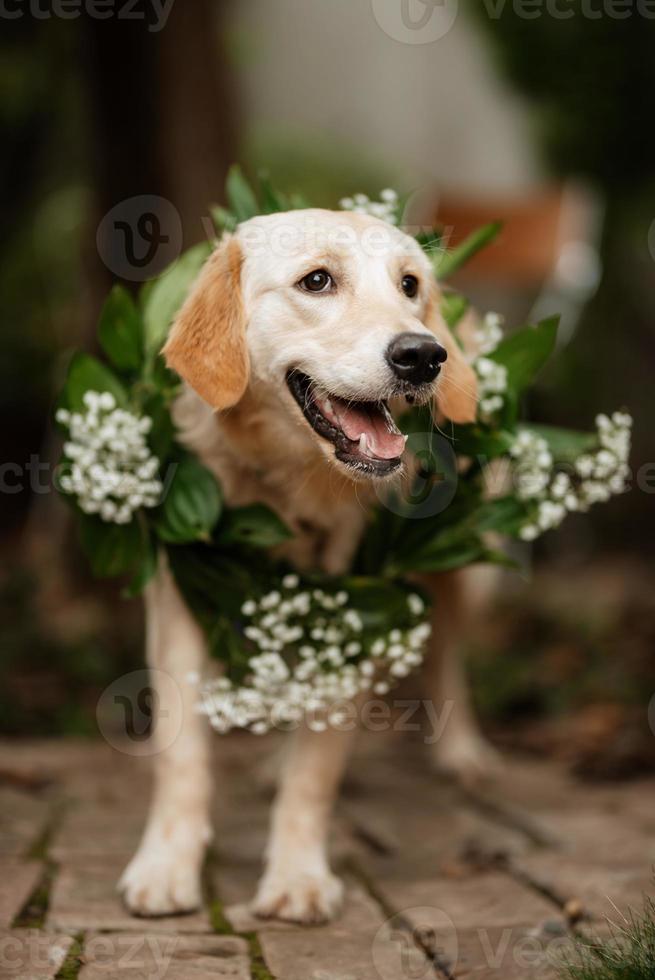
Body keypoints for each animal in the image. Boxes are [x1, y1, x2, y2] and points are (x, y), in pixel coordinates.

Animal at [119, 209, 486, 928]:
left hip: (460, 570)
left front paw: (297, 877)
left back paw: (463, 753)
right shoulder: (178, 594)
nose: (423, 354)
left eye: (409, 285)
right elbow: (183, 756)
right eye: (316, 280)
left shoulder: (355, 611)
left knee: (449, 655)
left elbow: (316, 773)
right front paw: (166, 866)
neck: (289, 482)